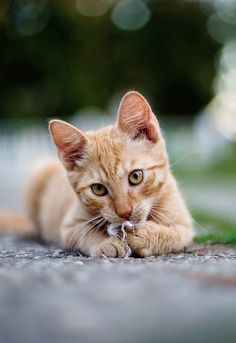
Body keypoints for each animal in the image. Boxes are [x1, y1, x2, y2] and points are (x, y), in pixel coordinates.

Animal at [0, 92, 193, 258]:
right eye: (98, 189)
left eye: (136, 176)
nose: (124, 212)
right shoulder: (70, 225)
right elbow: (86, 233)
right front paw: (106, 242)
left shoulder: (185, 226)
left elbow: (172, 234)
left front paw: (142, 235)